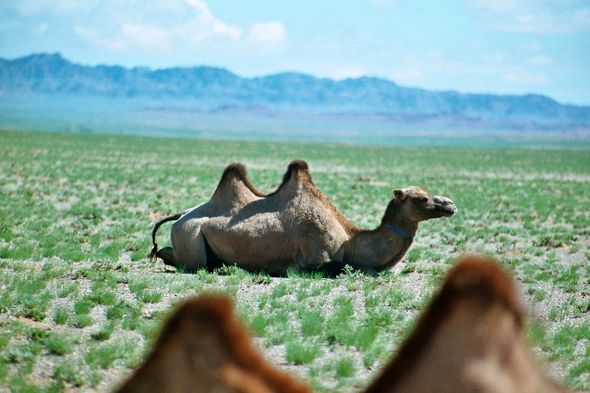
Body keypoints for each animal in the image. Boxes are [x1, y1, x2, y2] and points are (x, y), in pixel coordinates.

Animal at [150, 159, 460, 276]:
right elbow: (348, 266)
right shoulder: (319, 256)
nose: (450, 204)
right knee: (184, 259)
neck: (350, 238)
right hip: (190, 237)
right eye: (422, 199)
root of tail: (181, 216)